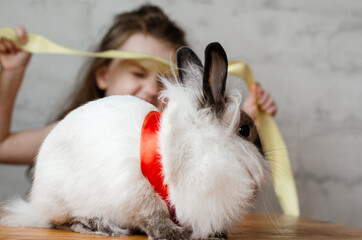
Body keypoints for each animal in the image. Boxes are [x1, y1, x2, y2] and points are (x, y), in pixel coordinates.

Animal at [0, 42, 266, 238]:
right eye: (244, 130)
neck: (193, 144)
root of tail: (36, 203)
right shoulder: (135, 189)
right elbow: (153, 213)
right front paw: (172, 234)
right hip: (62, 198)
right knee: (59, 221)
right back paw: (99, 226)